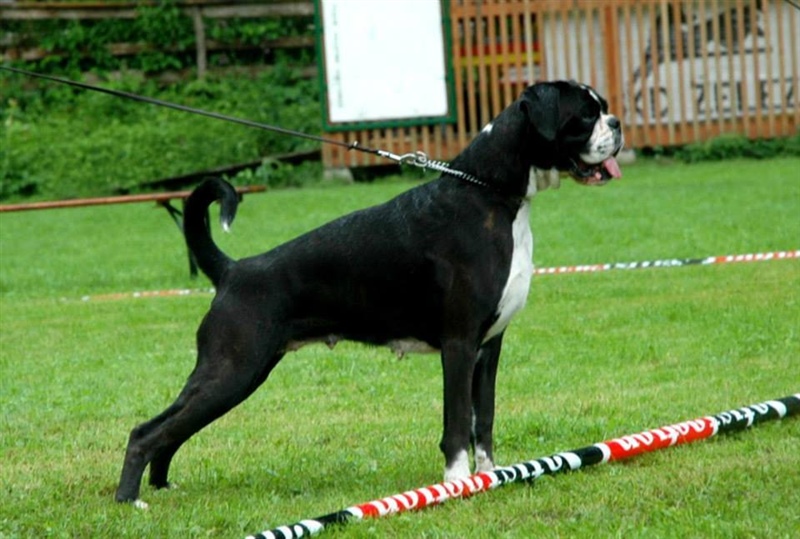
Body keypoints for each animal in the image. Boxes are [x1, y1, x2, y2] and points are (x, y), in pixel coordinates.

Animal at [115, 80, 620, 506]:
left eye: (602, 109)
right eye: (584, 115)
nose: (615, 124)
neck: (491, 195)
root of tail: (233, 270)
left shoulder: (489, 348)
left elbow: (486, 421)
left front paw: (488, 477)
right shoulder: (459, 345)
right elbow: (458, 422)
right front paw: (457, 484)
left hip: (237, 373)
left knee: (172, 430)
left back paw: (161, 487)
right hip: (233, 369)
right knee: (146, 431)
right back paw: (130, 500)